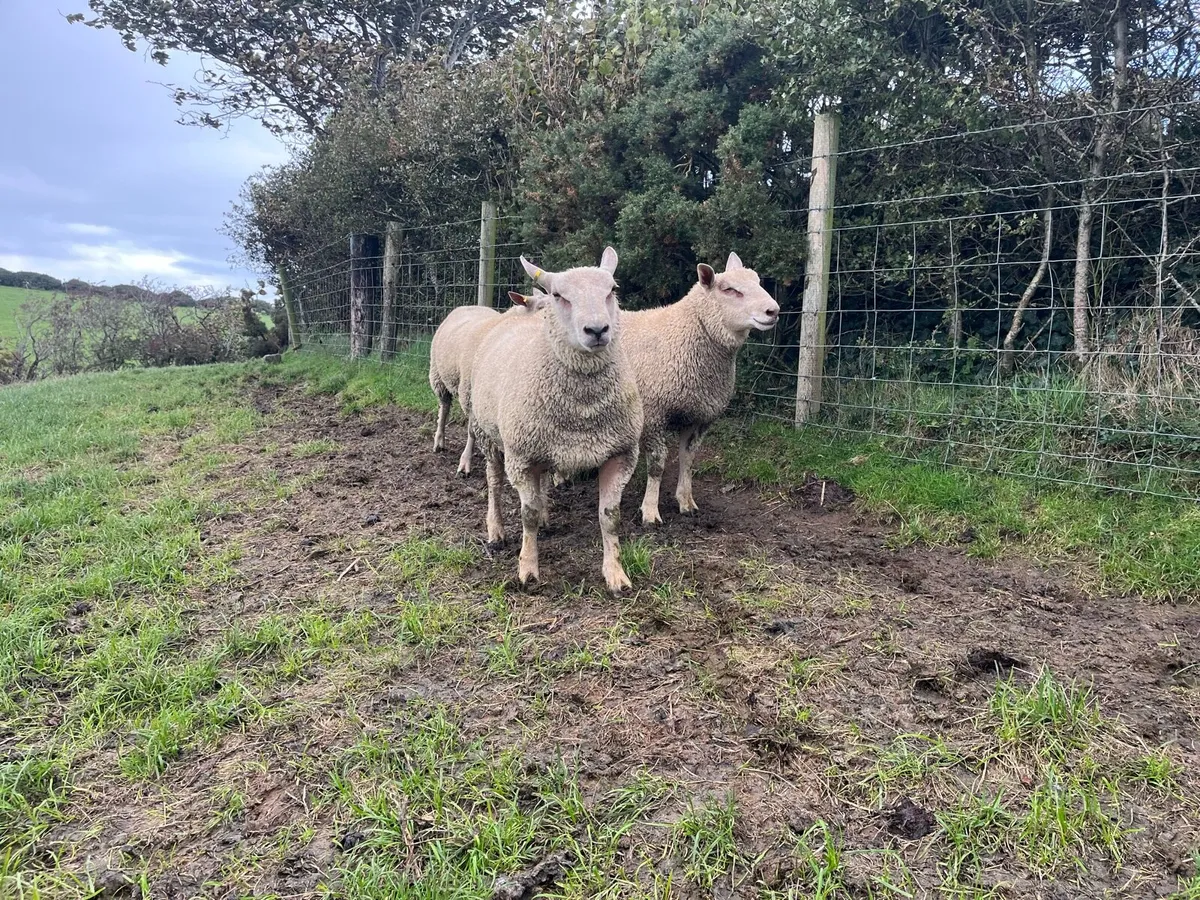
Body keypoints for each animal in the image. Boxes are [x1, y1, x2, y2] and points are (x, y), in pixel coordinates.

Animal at [428, 291, 544, 475]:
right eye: (540, 307)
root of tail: (469, 306)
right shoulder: (470, 395)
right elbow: (471, 431)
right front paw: (465, 462)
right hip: (438, 376)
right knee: (444, 408)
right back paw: (439, 441)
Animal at [465, 247, 643, 592]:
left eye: (612, 290)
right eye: (559, 295)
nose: (597, 330)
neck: (583, 411)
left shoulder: (621, 453)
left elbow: (610, 516)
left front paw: (615, 574)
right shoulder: (521, 457)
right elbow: (528, 514)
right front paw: (528, 570)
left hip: (545, 443)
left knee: (543, 479)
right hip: (489, 435)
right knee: (494, 482)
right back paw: (496, 530)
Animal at [621, 252, 780, 524]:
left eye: (758, 281)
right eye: (729, 290)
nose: (774, 311)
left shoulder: (700, 416)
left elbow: (688, 459)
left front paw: (686, 503)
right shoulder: (653, 414)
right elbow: (657, 465)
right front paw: (650, 512)